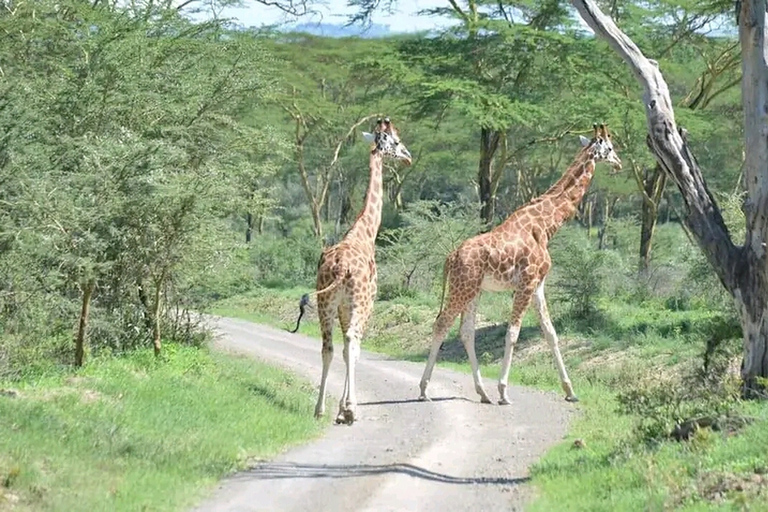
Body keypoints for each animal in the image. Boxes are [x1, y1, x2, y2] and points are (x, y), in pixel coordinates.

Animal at [310, 116, 412, 424]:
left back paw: (319, 408)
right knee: (351, 342)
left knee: (328, 347)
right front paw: (347, 408)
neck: (365, 232)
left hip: (326, 302)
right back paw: (351, 410)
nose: (408, 157)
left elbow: (344, 351)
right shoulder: (366, 304)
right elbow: (353, 350)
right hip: (358, 302)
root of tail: (341, 267)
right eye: (397, 142)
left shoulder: (342, 307)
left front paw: (340, 408)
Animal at [416, 123, 620, 404]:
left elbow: (550, 333)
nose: (619, 164)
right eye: (609, 148)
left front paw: (570, 391)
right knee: (441, 324)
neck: (547, 224)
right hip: (462, 288)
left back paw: (482, 392)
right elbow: (512, 332)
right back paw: (424, 389)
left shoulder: (538, 285)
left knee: (466, 332)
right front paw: (503, 390)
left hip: (473, 290)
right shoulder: (526, 282)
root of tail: (451, 257)